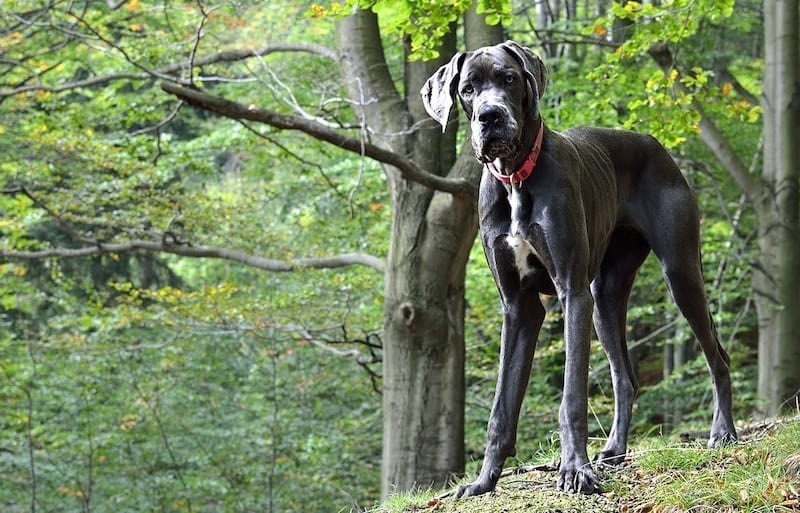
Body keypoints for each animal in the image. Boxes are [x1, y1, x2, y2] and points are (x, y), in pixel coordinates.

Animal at [418, 42, 736, 494]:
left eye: (509, 78)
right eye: (467, 89)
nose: (490, 116)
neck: (516, 179)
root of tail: (653, 142)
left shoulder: (571, 292)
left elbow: (571, 397)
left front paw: (574, 470)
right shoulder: (519, 307)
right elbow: (501, 406)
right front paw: (483, 481)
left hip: (679, 274)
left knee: (717, 357)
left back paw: (722, 433)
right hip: (604, 299)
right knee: (625, 377)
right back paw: (615, 449)